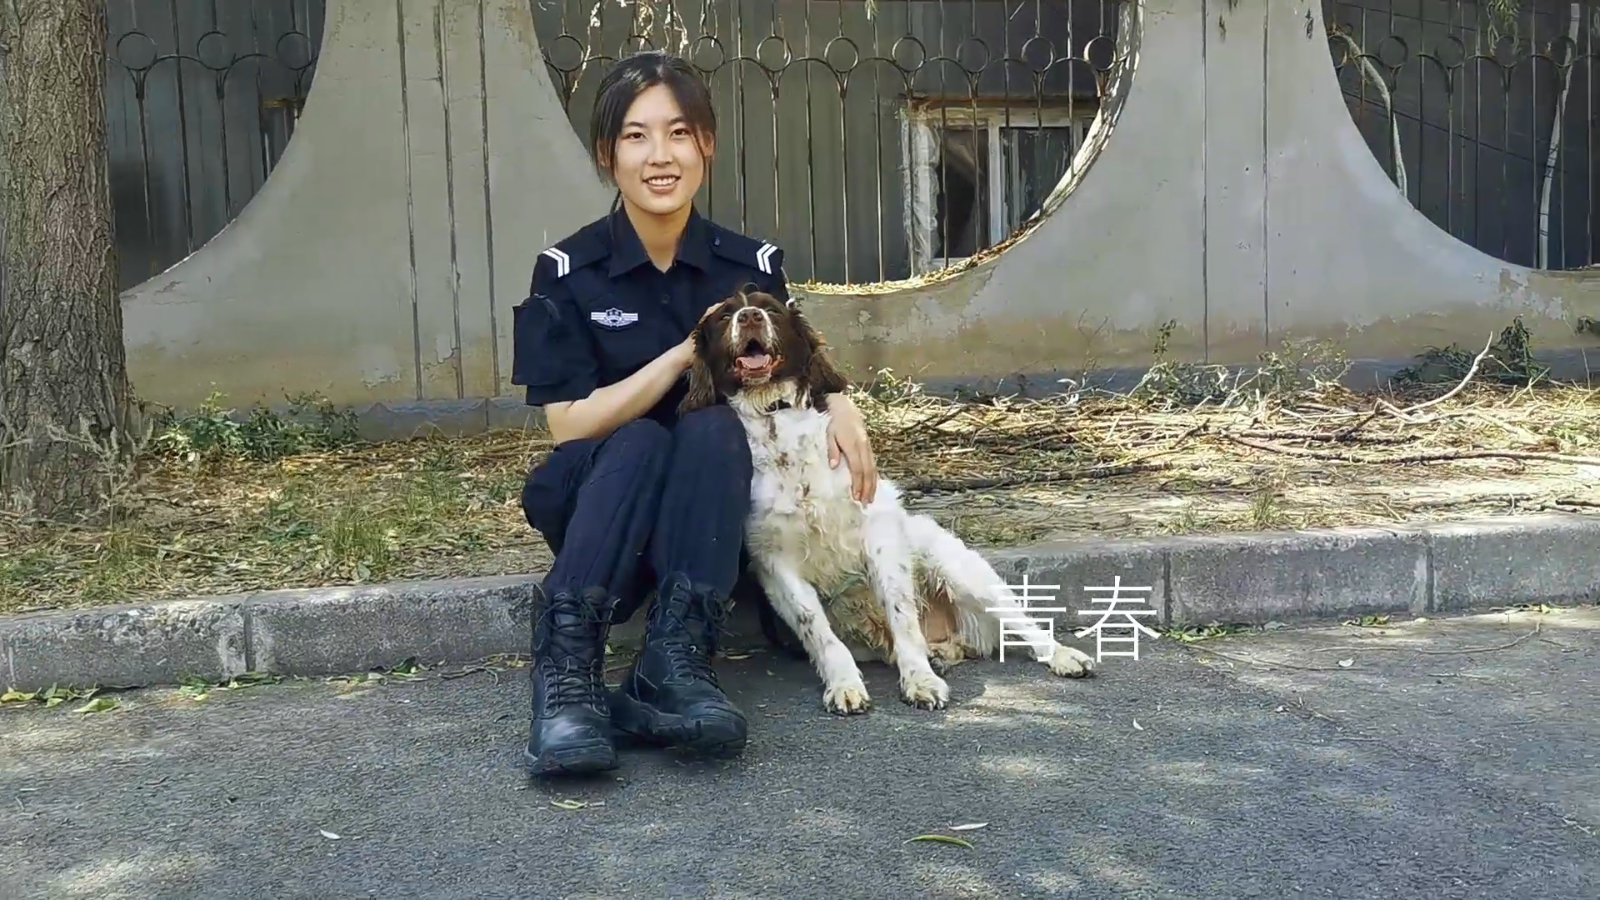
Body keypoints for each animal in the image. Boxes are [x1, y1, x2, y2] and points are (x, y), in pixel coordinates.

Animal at [675, 291, 1100, 711]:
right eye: (724, 315)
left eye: (772, 309)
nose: (749, 317)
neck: (774, 422)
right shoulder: (775, 562)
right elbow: (820, 632)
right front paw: (844, 684)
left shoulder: (879, 536)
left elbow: (902, 616)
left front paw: (920, 680)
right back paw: (940, 655)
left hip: (959, 568)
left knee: (1019, 621)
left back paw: (1060, 655)